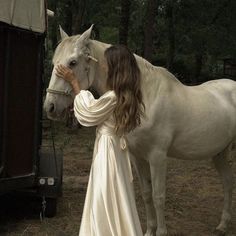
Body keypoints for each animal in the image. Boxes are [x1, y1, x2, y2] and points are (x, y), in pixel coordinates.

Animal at [43, 25, 235, 236]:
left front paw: (161, 232)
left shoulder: (158, 157)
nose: (50, 107)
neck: (145, 97)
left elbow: (158, 196)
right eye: (54, 62)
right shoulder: (137, 157)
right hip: (220, 153)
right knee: (227, 182)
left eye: (73, 62)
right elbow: (146, 194)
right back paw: (223, 225)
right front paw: (149, 230)